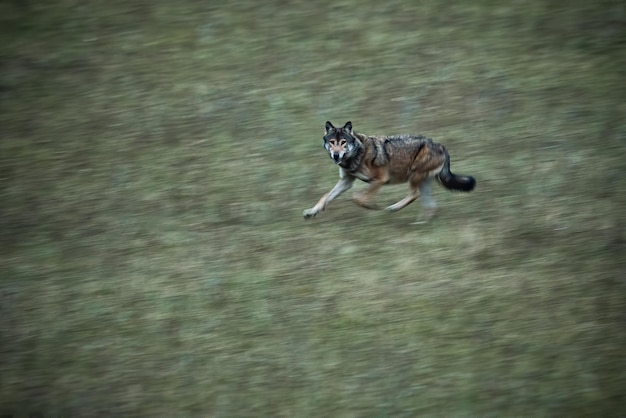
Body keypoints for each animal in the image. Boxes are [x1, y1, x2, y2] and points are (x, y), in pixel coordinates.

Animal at [302, 121, 472, 222]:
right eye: (332, 142)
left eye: (343, 142)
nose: (336, 155)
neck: (356, 155)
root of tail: (441, 146)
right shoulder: (346, 181)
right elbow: (325, 197)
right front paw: (312, 212)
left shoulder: (380, 179)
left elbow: (358, 197)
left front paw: (372, 206)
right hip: (423, 182)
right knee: (431, 206)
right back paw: (421, 223)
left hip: (414, 176)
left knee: (415, 194)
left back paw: (394, 208)